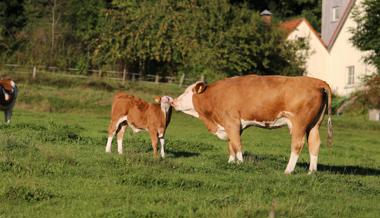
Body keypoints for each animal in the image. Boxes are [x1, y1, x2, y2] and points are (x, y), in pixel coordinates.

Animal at [172, 75, 332, 174]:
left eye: (187, 92)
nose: (173, 101)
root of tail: (317, 81)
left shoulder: (231, 122)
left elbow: (237, 145)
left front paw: (241, 164)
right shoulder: (231, 125)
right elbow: (231, 145)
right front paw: (231, 163)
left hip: (299, 124)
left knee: (297, 144)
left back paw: (288, 170)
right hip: (314, 125)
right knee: (314, 143)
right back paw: (311, 172)